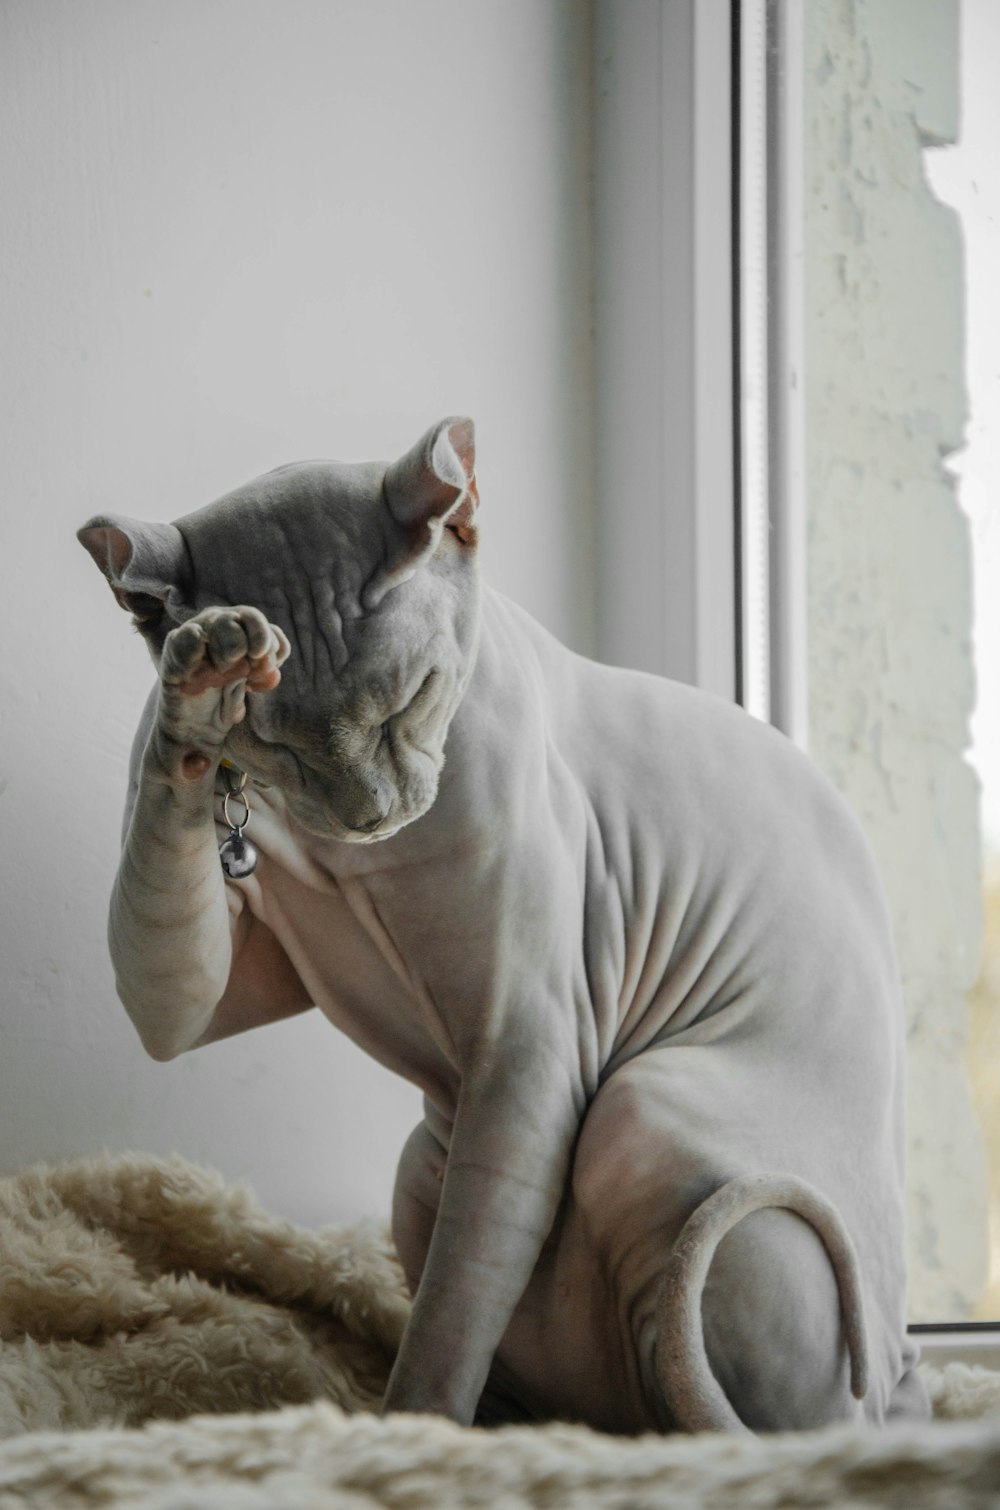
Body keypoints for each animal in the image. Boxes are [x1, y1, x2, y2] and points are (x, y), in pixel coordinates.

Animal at [80, 419, 930, 1431]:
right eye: (273, 746)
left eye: (412, 698)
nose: (369, 813)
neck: (357, 863)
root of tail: (907, 1375)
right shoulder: (191, 993)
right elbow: (163, 958)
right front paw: (203, 679)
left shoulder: (529, 1046)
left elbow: (453, 1308)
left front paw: (409, 1432)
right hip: (427, 1161)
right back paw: (526, 1421)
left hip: (640, 1106)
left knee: (723, 1386)